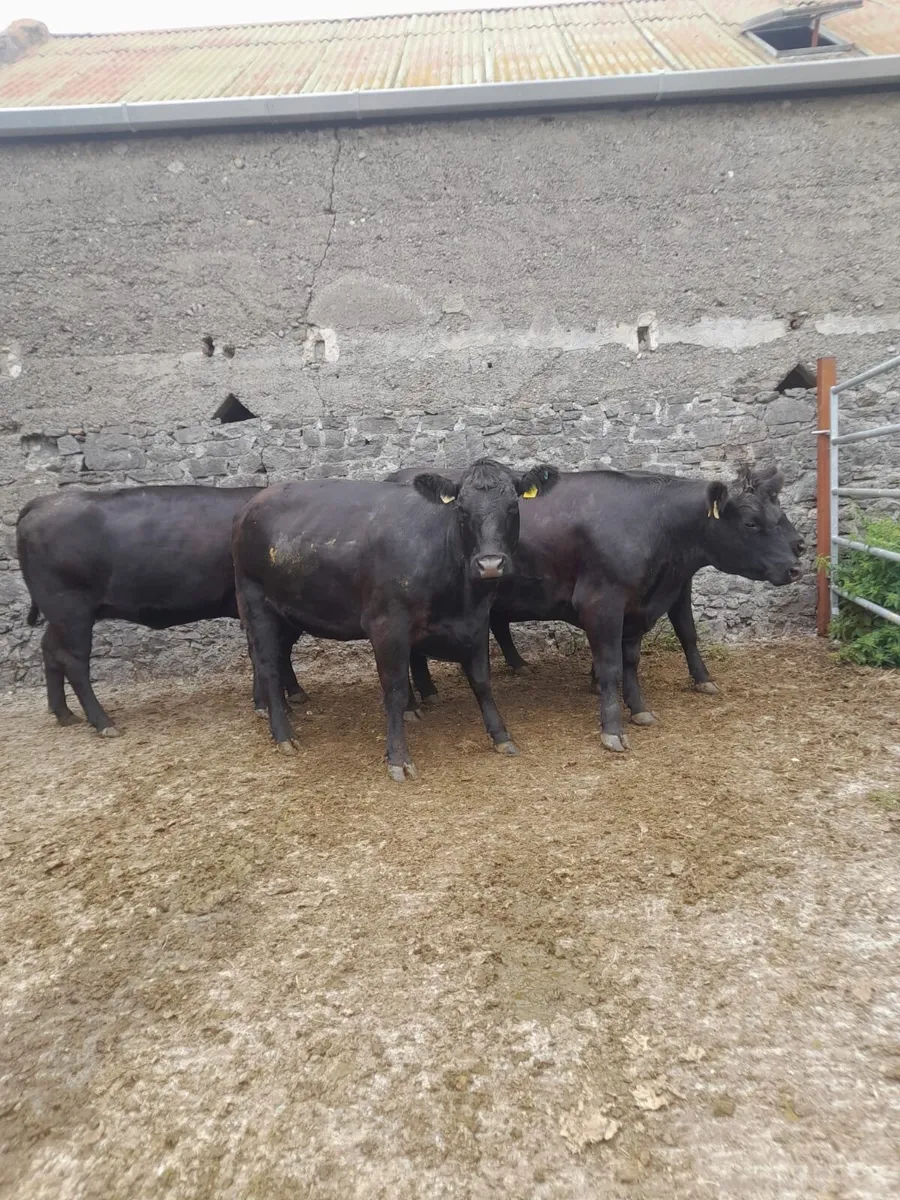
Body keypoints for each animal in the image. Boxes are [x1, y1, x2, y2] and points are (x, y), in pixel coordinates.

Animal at [16, 485, 307, 736]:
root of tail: (42, 502)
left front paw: (284, 695)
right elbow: (272, 652)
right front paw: (273, 701)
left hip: (59, 616)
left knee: (49, 649)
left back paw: (63, 713)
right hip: (71, 611)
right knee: (73, 661)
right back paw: (103, 722)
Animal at [231, 458, 559, 781]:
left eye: (513, 507)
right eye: (461, 509)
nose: (490, 564)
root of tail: (252, 503)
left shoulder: (477, 621)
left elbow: (481, 681)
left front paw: (501, 735)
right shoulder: (387, 626)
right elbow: (396, 691)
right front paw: (398, 758)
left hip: (290, 611)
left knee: (278, 656)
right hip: (256, 603)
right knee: (267, 665)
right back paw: (283, 733)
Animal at [390, 465, 802, 751]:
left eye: (779, 514)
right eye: (750, 522)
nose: (796, 561)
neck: (655, 523)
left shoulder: (640, 604)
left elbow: (633, 660)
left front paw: (639, 709)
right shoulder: (602, 604)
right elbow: (611, 666)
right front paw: (612, 729)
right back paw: (412, 702)